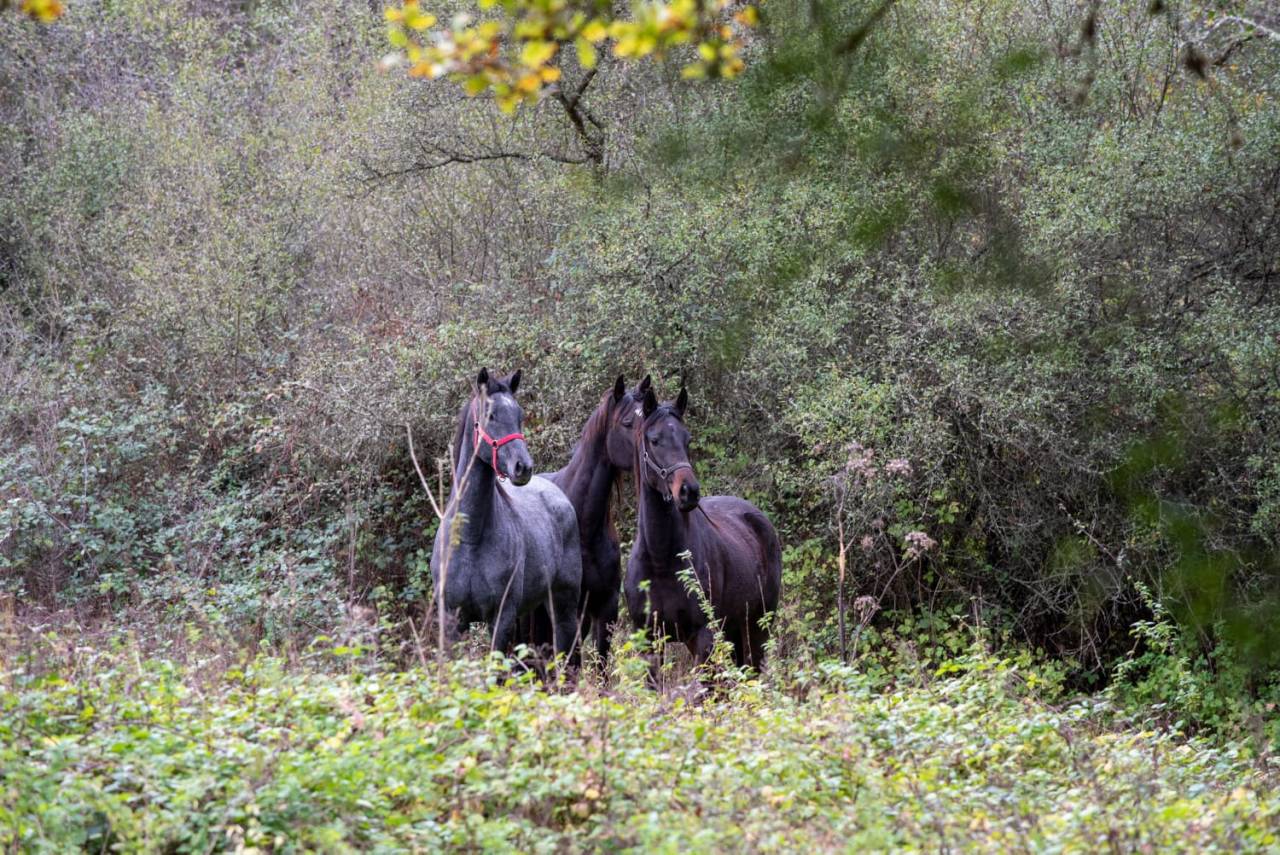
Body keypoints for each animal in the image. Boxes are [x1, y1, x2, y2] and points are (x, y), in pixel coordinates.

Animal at [431, 368, 583, 660]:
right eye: (491, 415)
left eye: (520, 415)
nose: (523, 467)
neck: (470, 538)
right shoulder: (452, 620)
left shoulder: (501, 618)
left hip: (564, 603)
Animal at [624, 385, 782, 673]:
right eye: (655, 440)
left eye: (687, 439)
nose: (689, 492)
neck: (661, 558)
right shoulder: (649, 640)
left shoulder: (703, 636)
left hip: (757, 626)